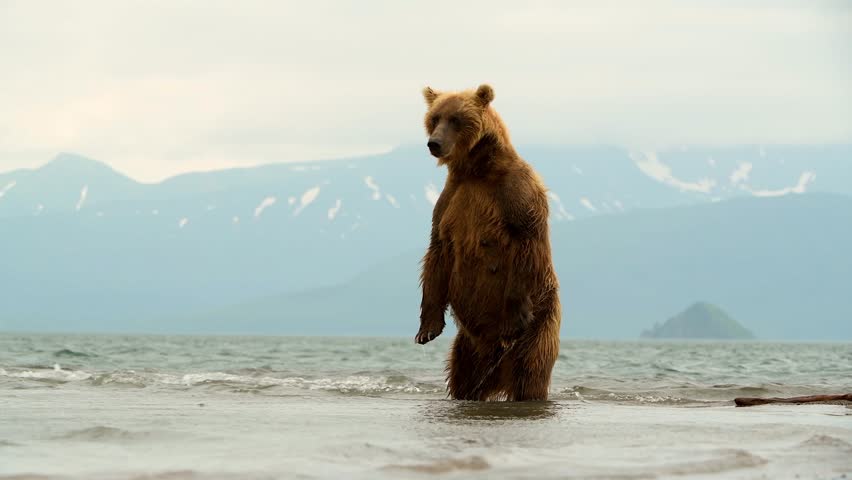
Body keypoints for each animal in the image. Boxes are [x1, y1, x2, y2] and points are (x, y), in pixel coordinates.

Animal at [414, 83, 562, 402]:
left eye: (456, 119)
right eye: (434, 118)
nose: (434, 143)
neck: (476, 170)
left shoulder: (515, 193)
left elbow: (524, 242)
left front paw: (512, 321)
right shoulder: (450, 201)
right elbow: (437, 251)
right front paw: (426, 329)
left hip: (540, 323)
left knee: (530, 372)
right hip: (467, 346)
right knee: (462, 376)